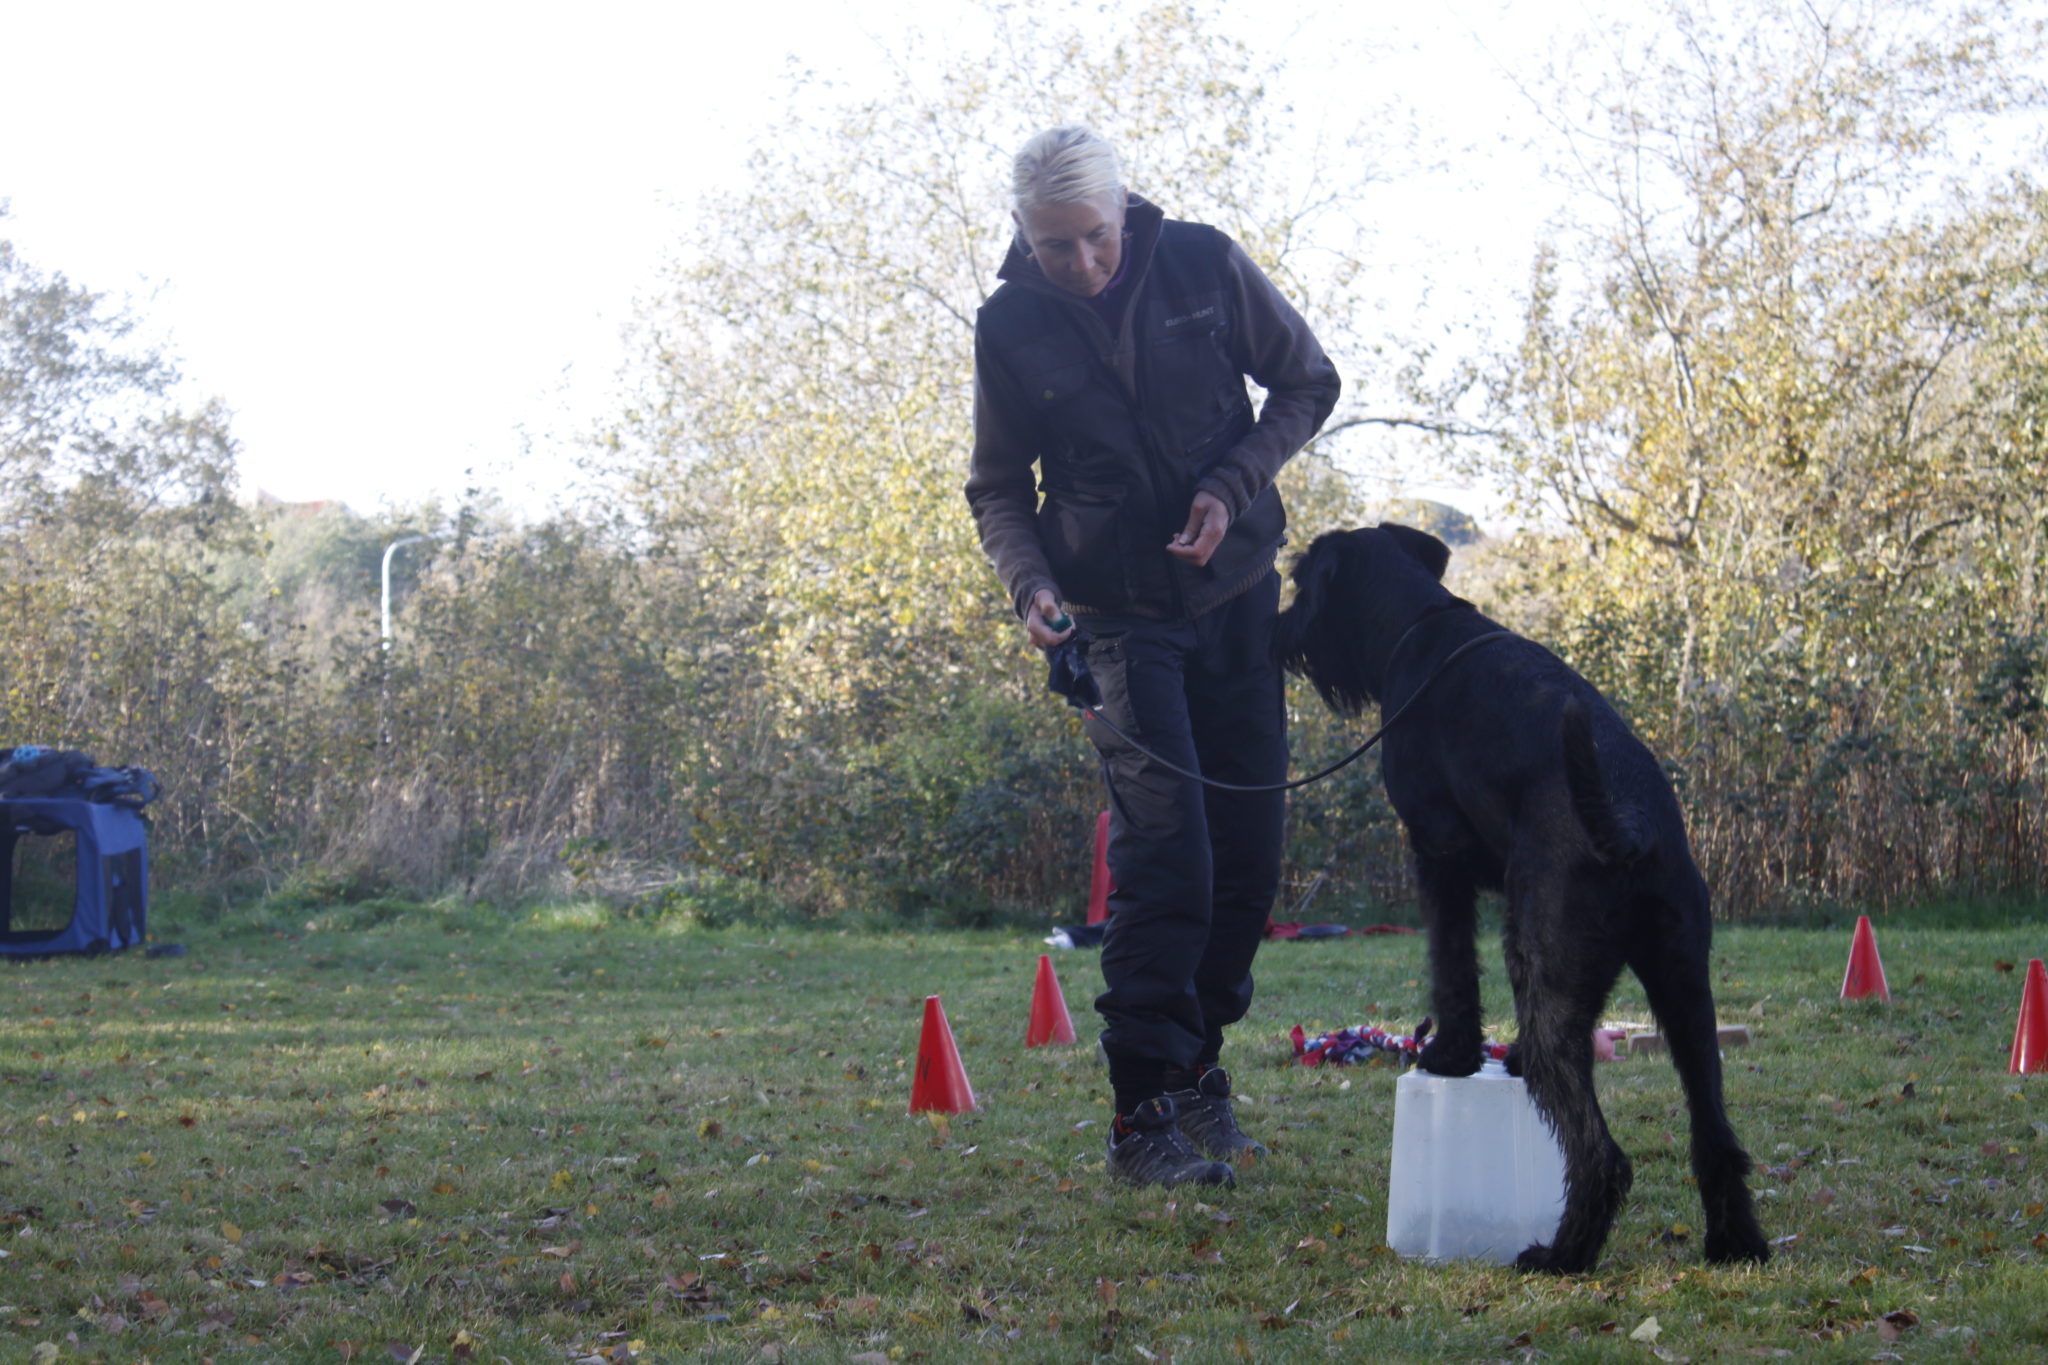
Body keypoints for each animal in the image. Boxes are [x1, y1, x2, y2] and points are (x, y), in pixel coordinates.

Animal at [1269, 527, 1769, 1277]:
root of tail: (1629, 827)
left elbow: (1452, 965)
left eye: (1302, 581)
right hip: (1685, 991)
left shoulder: (1437, 856)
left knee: (1600, 1151)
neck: (1418, 625)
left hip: (1552, 976)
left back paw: (1562, 1252)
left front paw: (1450, 1055)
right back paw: (1735, 1243)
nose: (1280, 632)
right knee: (1714, 1131)